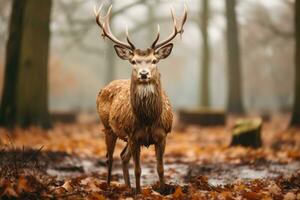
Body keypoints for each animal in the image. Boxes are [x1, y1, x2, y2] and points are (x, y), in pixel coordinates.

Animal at [94, 3, 188, 194]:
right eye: (133, 61)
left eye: (154, 60)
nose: (144, 74)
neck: (148, 119)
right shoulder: (133, 135)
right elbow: (138, 169)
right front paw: (138, 193)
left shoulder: (162, 135)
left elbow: (160, 168)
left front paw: (162, 190)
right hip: (108, 127)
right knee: (109, 158)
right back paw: (109, 187)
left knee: (122, 156)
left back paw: (127, 188)